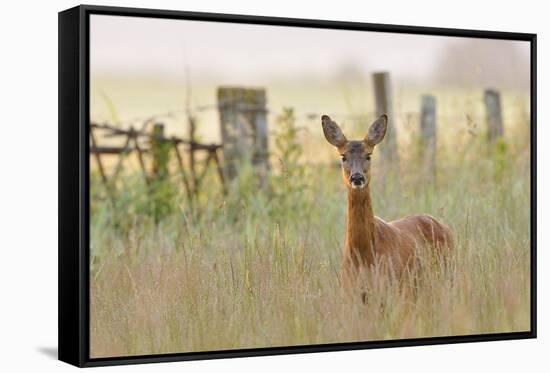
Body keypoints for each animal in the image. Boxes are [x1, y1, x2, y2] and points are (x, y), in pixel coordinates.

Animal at [322, 113, 454, 300]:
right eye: (343, 156)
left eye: (368, 155)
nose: (357, 177)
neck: (364, 257)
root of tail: (444, 227)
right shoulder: (349, 292)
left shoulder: (389, 287)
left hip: (446, 271)